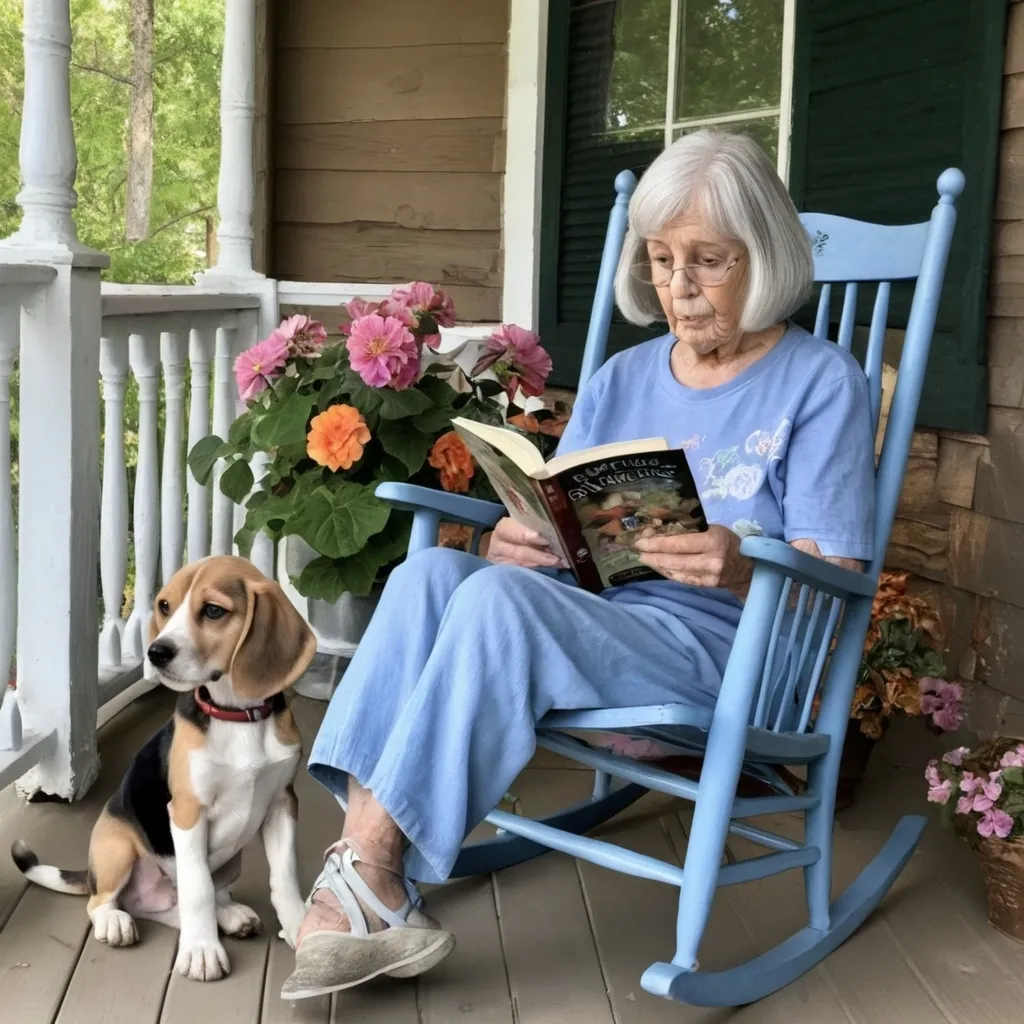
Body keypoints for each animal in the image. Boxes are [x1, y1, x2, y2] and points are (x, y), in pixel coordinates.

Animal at [9, 557, 317, 978]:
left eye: (214, 611)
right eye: (165, 606)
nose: (155, 652)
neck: (237, 716)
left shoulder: (282, 804)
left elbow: (283, 878)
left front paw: (301, 928)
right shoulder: (187, 811)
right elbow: (198, 889)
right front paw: (202, 950)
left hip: (230, 864)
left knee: (179, 903)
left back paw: (229, 915)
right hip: (117, 845)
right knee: (108, 900)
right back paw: (117, 921)